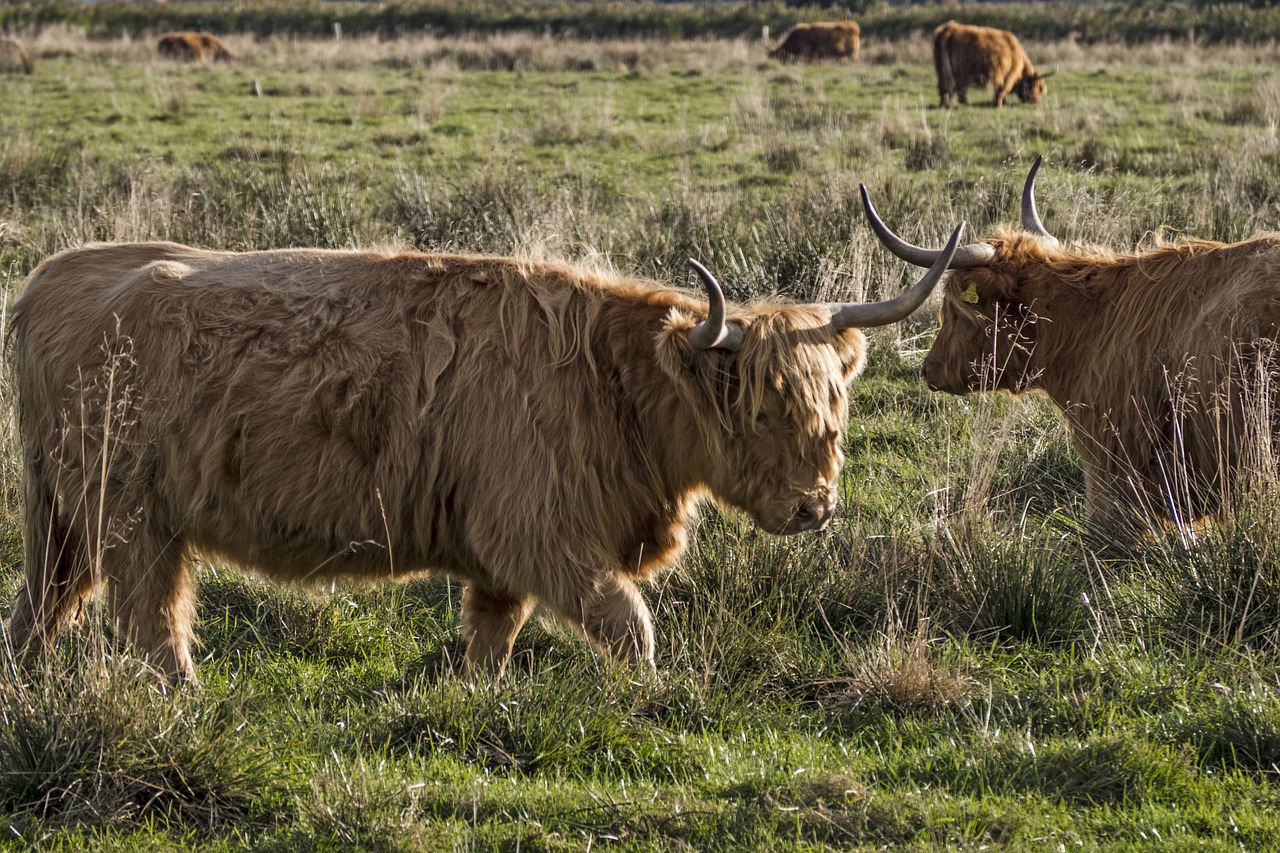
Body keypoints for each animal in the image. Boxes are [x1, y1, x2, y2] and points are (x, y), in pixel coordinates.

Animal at [2, 229, 962, 681]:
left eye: (835, 407)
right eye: (763, 407)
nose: (814, 506)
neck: (614, 386)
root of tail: (53, 276)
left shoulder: (499, 553)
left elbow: (491, 640)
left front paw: (474, 700)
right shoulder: (539, 531)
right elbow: (632, 626)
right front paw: (651, 699)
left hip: (64, 516)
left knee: (40, 605)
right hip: (130, 515)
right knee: (150, 615)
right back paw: (189, 700)